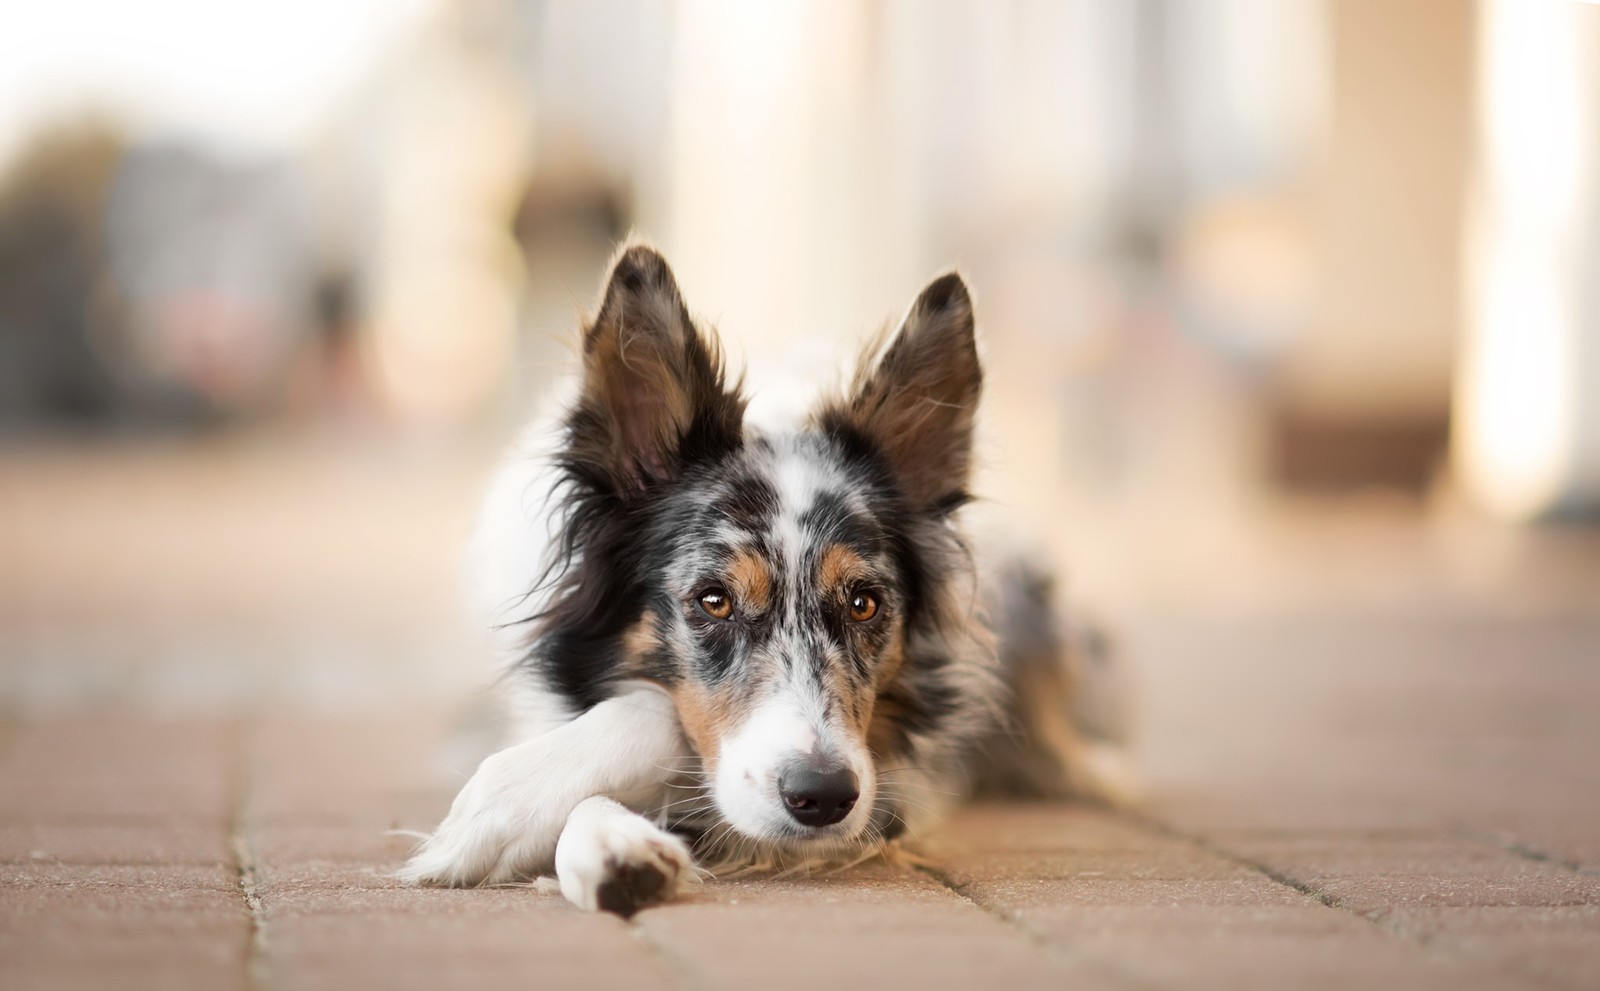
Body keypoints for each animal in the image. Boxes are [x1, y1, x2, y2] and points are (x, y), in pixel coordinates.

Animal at [400, 240, 1132, 915]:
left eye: (864, 604)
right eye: (713, 600)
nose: (825, 797)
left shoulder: (894, 787)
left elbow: (657, 713)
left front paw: (507, 805)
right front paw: (606, 839)